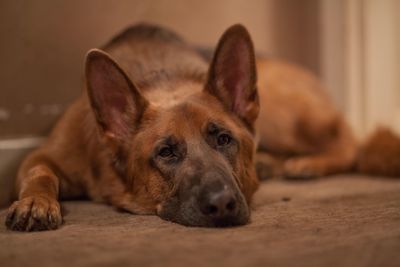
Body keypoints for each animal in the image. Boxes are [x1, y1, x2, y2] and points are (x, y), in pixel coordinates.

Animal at [3, 23, 400, 232]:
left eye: (224, 139)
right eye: (165, 152)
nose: (222, 204)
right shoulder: (43, 155)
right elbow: (40, 173)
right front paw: (35, 202)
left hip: (282, 113)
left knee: (350, 140)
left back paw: (306, 164)